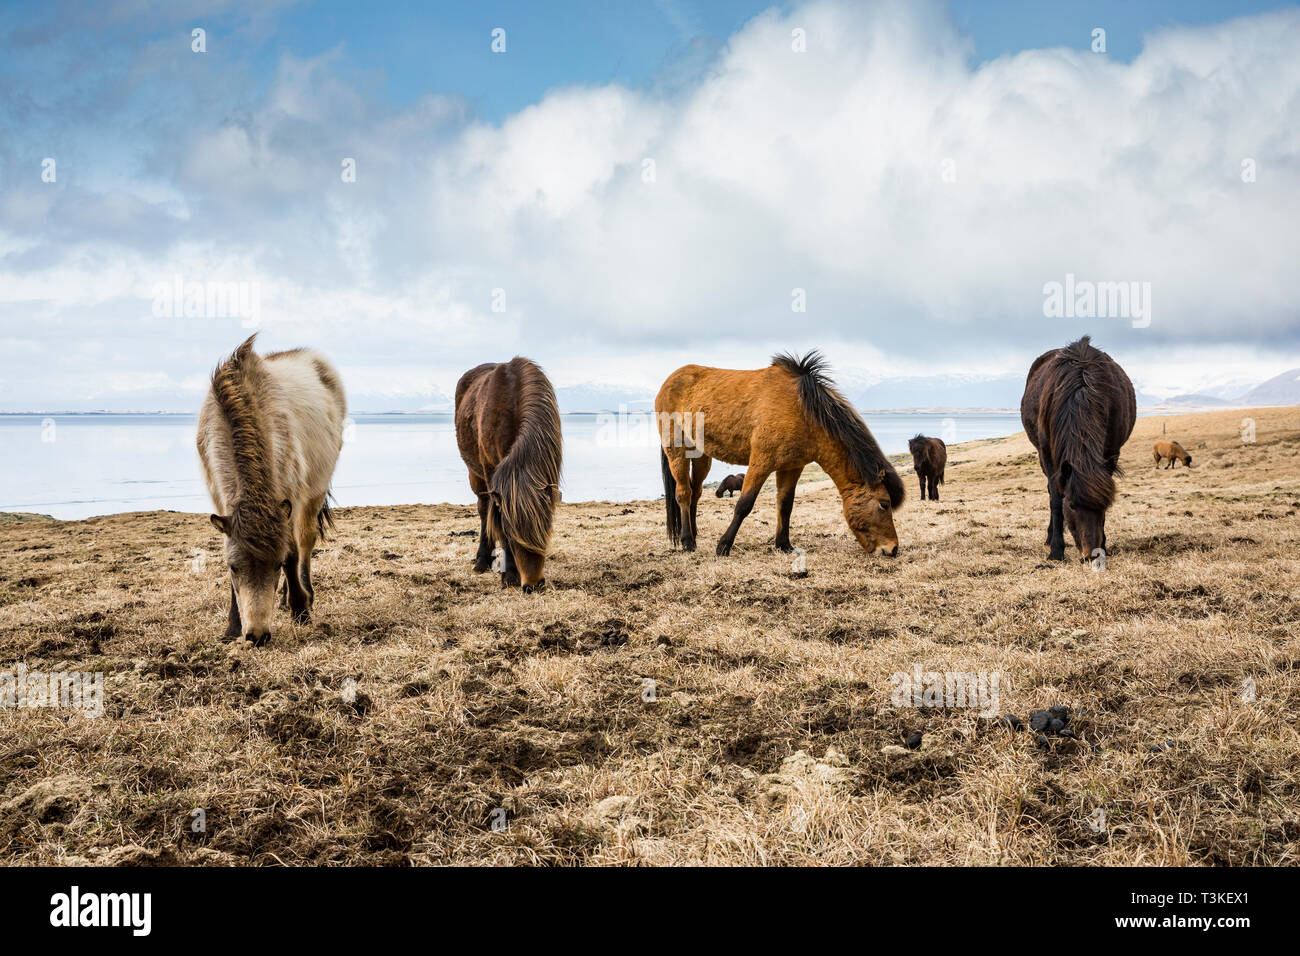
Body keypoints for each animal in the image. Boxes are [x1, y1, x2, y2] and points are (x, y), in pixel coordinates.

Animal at [197, 335, 345, 642]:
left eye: (275, 566)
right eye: (233, 567)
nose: (257, 635)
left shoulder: (290, 500)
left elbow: (292, 554)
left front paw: (301, 611)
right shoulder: (220, 499)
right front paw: (232, 628)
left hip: (313, 494)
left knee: (305, 542)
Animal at [454, 358, 561, 595]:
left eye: (545, 529)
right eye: (512, 537)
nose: (534, 585)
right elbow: (498, 523)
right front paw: (509, 576)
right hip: (476, 476)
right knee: (484, 511)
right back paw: (481, 561)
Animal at [660, 351, 904, 561]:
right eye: (884, 504)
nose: (892, 549)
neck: (803, 411)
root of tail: (669, 381)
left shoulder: (792, 466)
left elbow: (785, 505)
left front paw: (783, 544)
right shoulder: (761, 462)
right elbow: (744, 504)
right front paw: (723, 546)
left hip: (702, 456)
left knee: (695, 492)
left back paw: (693, 534)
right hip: (677, 451)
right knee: (683, 493)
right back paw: (687, 541)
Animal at [1019, 335, 1133, 564]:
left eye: (1105, 506)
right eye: (1071, 505)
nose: (1091, 555)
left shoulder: (1112, 452)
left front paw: (1104, 544)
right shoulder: (1047, 454)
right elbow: (1055, 499)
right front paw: (1056, 550)